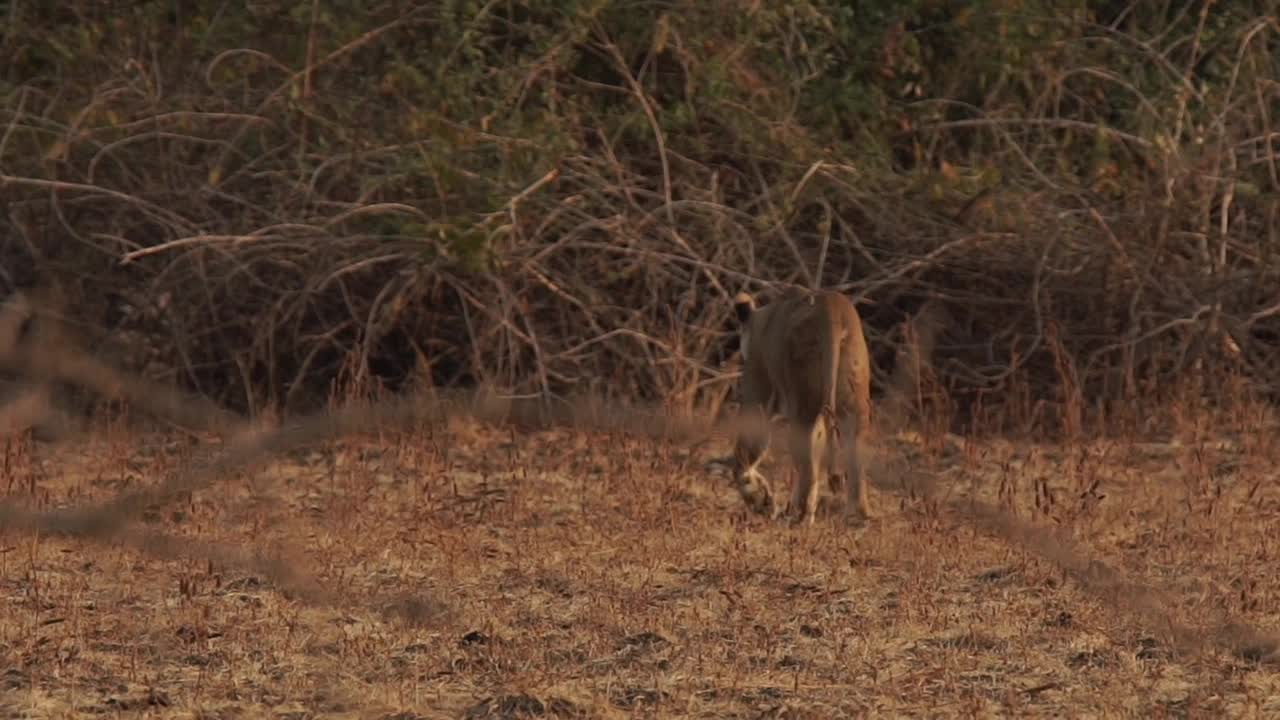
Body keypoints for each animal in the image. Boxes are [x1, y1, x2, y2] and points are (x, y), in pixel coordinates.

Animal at [727, 286, 875, 527]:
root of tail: (831, 308)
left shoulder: (757, 393)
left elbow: (742, 455)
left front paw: (761, 500)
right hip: (854, 406)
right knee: (854, 461)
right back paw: (857, 517)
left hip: (801, 407)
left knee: (807, 469)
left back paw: (798, 516)